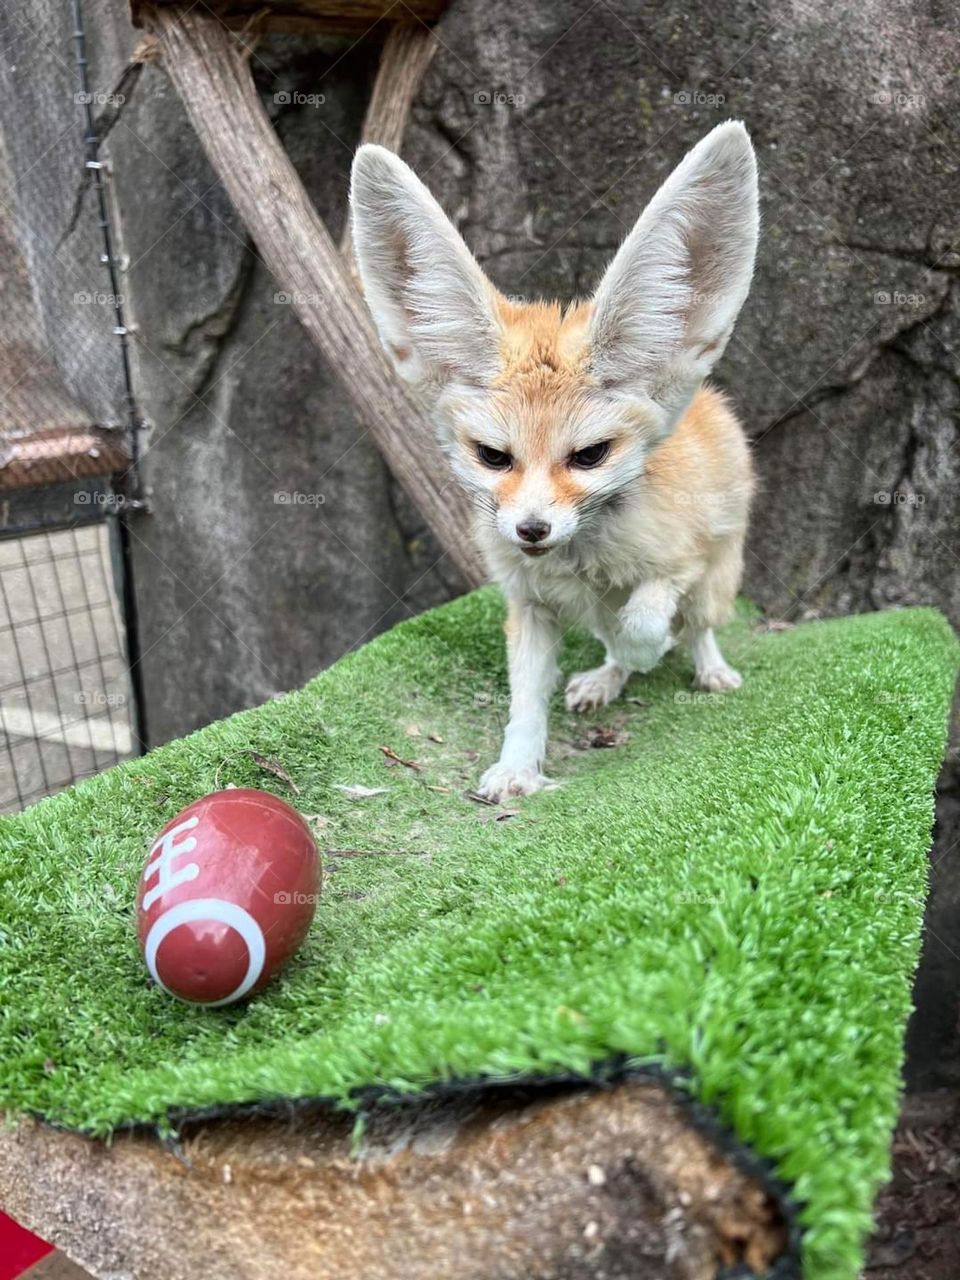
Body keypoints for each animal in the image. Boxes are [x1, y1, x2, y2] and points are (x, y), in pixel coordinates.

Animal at [349, 121, 759, 805]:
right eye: (493, 457)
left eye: (589, 456)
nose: (531, 530)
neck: (580, 565)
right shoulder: (528, 606)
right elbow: (526, 702)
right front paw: (518, 766)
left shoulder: (680, 563)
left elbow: (643, 624)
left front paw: (645, 649)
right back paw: (605, 679)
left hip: (715, 580)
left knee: (696, 627)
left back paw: (707, 669)